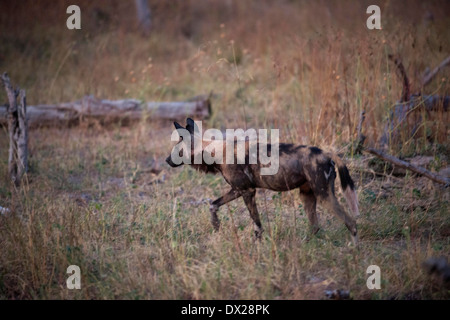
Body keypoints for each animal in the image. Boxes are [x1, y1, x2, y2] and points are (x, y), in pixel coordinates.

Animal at [167, 118, 360, 245]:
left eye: (176, 151)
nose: (166, 160)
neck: (214, 151)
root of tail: (326, 153)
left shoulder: (247, 192)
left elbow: (257, 224)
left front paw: (256, 245)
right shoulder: (237, 190)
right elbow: (213, 205)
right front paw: (216, 226)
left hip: (324, 196)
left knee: (351, 222)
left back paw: (353, 251)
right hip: (307, 195)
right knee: (315, 226)